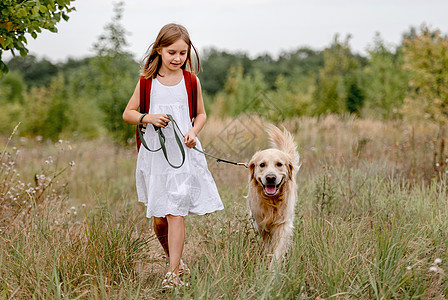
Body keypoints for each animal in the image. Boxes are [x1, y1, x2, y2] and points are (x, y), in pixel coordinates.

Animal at [247, 124, 300, 268]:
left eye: (279, 164)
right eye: (262, 165)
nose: (270, 178)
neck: (272, 200)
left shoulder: (283, 224)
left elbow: (278, 249)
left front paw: (272, 269)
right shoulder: (260, 224)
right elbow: (267, 245)